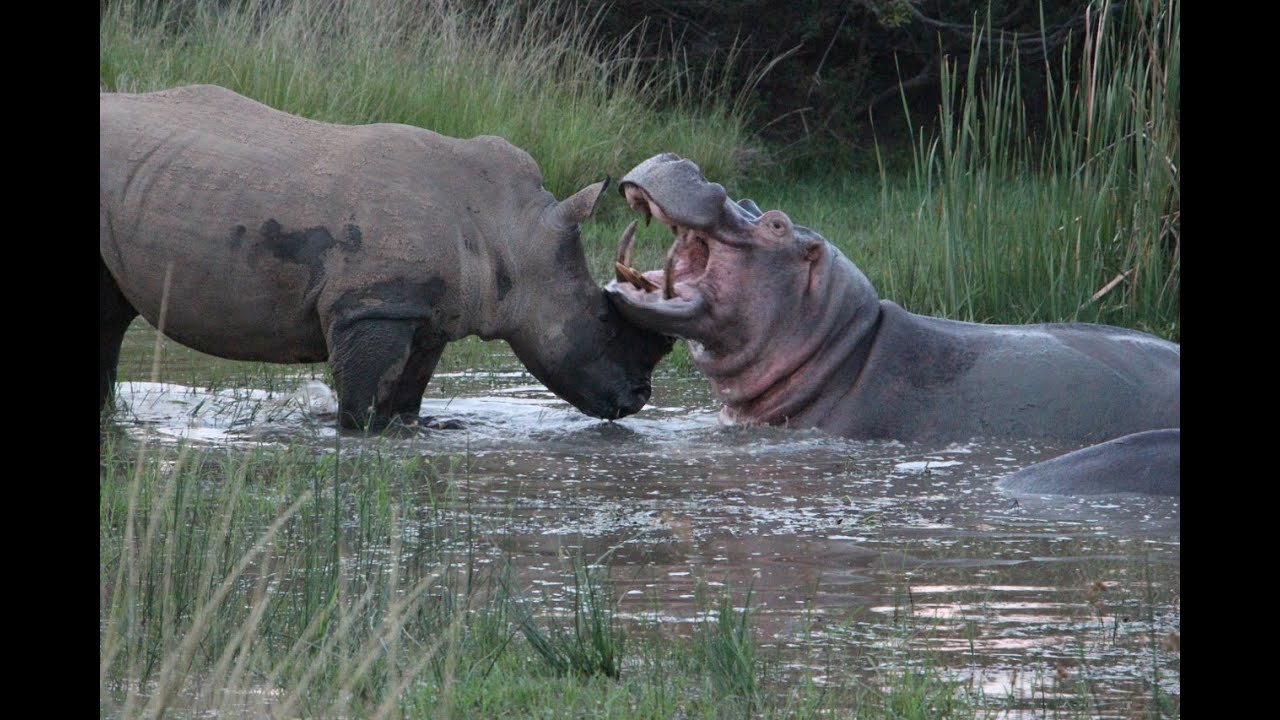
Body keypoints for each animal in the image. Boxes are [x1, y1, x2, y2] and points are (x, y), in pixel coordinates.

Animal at [100, 85, 672, 431]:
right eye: (601, 320)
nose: (637, 399)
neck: (513, 231)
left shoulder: (427, 313)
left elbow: (407, 397)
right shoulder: (371, 305)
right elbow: (362, 405)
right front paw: (359, 433)